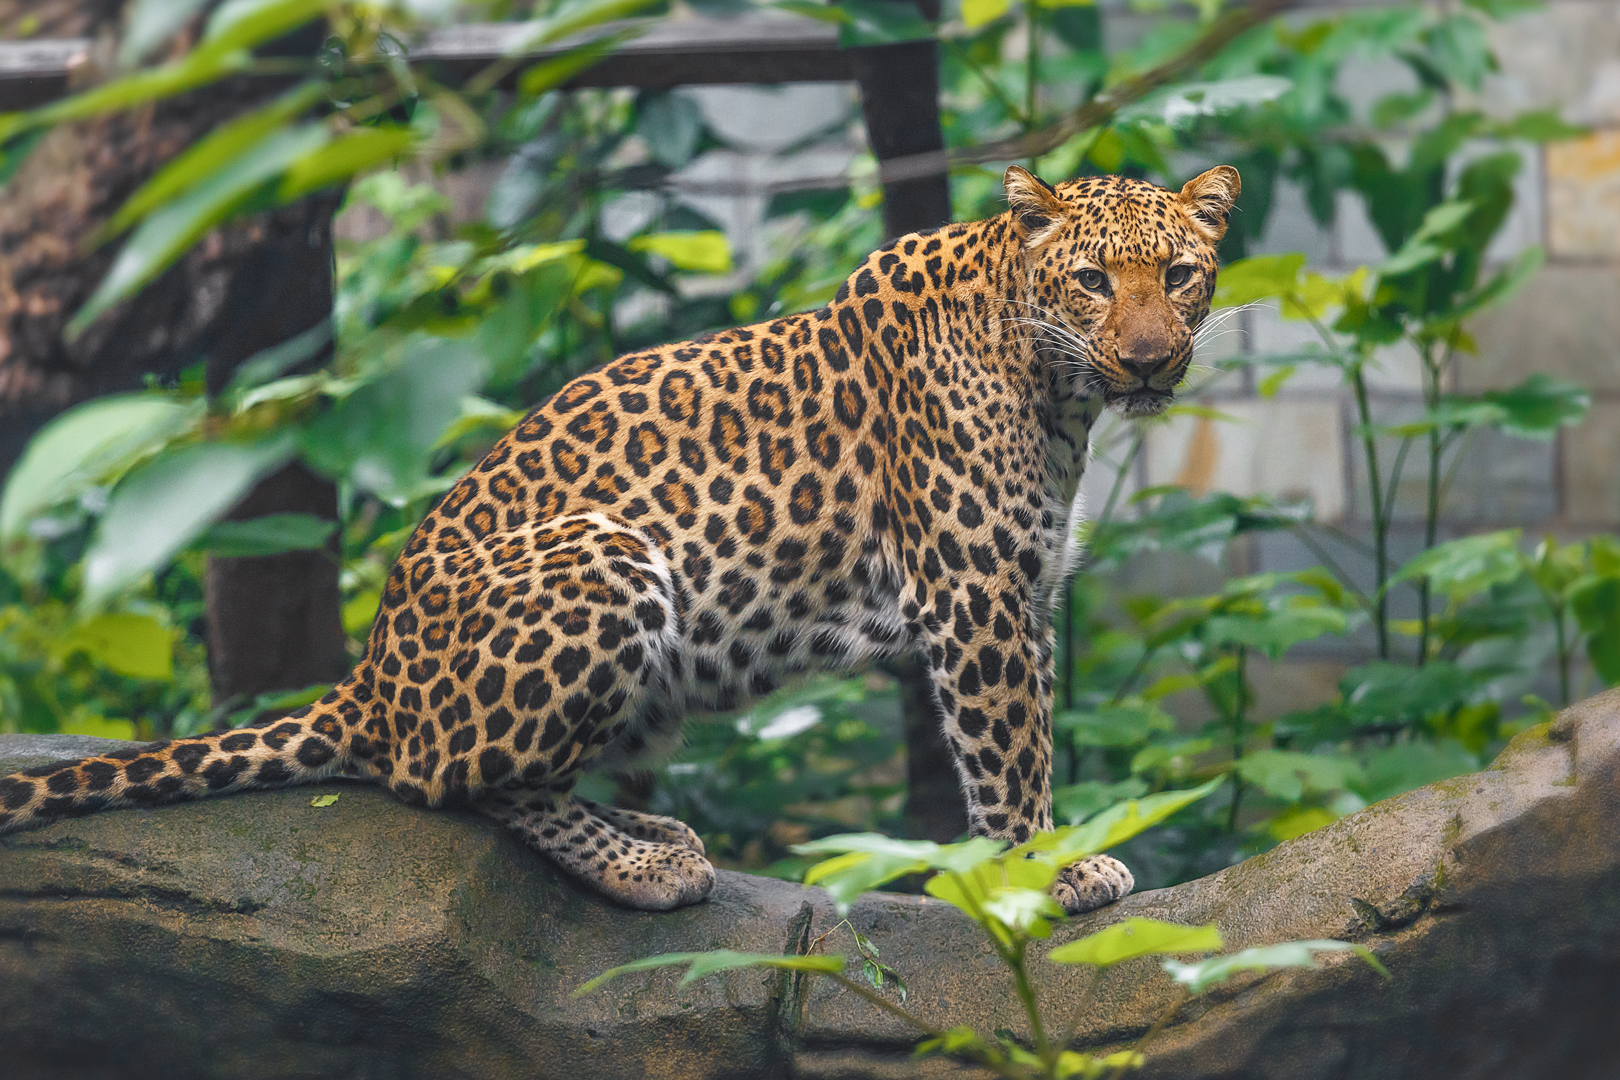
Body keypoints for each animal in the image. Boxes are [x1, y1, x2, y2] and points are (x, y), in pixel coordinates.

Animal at [0, 164, 1240, 914]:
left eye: (1181, 275)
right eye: (1092, 281)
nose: (1148, 359)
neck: (1058, 388)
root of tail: (372, 676)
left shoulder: (1025, 597)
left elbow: (1027, 744)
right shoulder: (975, 597)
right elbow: (1007, 759)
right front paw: (1049, 873)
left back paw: (660, 831)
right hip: (604, 556)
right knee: (441, 778)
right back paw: (645, 864)